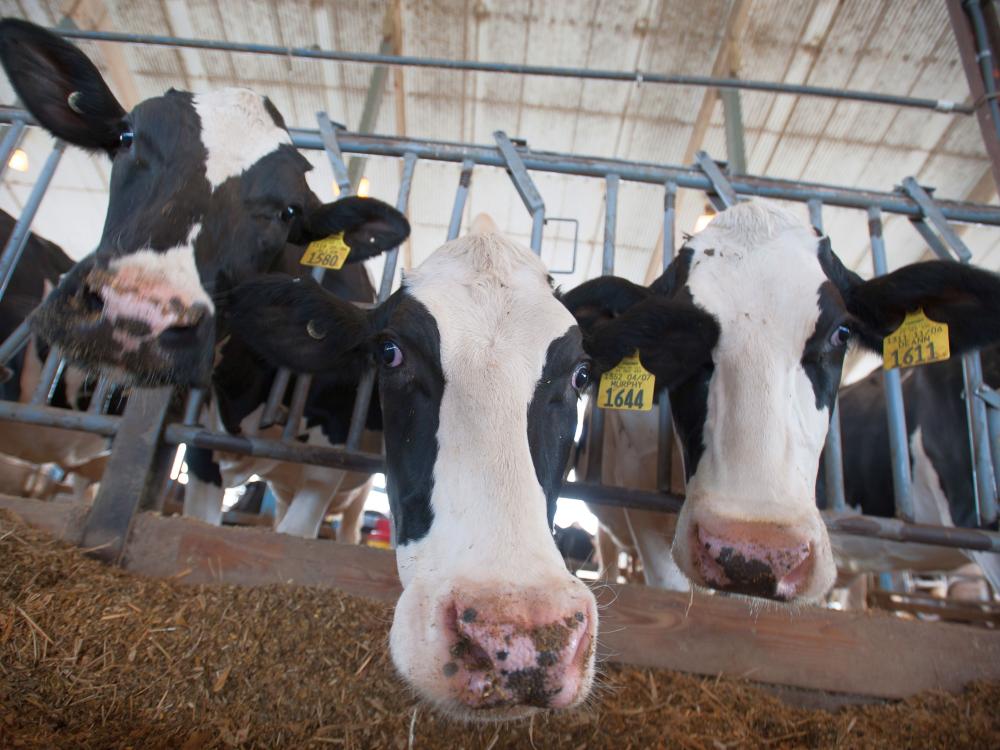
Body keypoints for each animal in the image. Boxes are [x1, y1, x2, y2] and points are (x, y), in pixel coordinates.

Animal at [0, 17, 408, 536]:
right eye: (127, 138)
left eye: (289, 210)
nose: (134, 314)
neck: (246, 388)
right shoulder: (200, 446)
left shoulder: (328, 457)